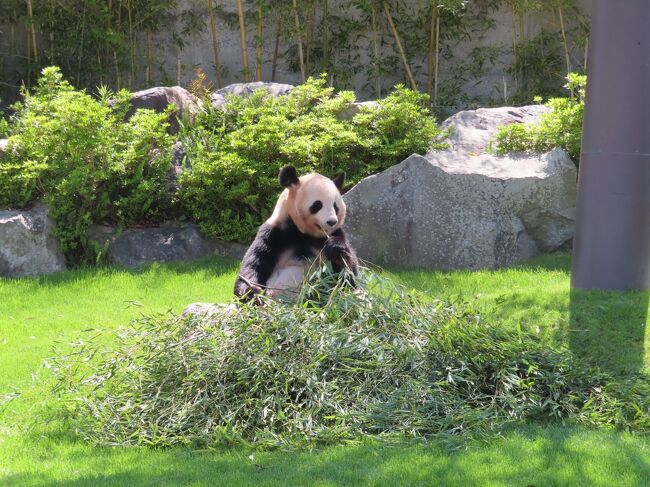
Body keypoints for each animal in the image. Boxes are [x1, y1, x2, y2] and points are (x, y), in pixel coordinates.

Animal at [233, 167, 356, 302]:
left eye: (335, 206)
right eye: (317, 205)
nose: (332, 222)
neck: (303, 232)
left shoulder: (336, 234)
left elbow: (349, 277)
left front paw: (335, 248)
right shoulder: (273, 233)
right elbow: (254, 263)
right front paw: (251, 292)